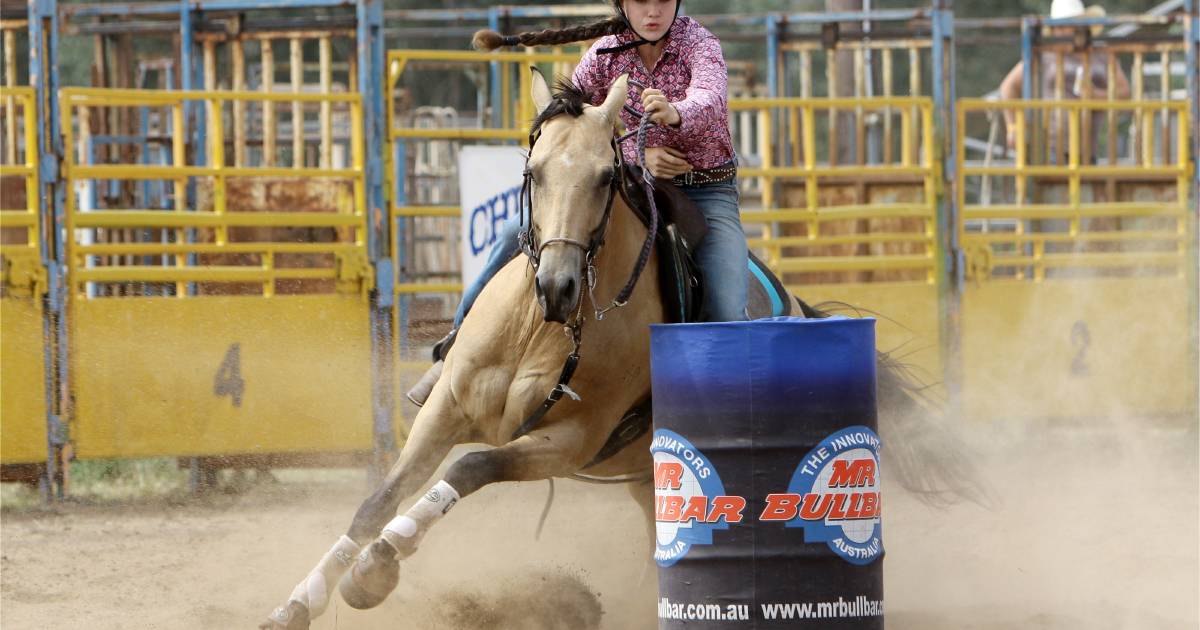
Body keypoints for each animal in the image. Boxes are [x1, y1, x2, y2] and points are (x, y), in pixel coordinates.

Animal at [258, 68, 979, 628]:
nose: (558, 284)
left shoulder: (569, 440)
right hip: (639, 481)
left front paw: (377, 568)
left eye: (608, 176)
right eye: (533, 171)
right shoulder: (446, 409)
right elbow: (378, 499)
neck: (537, 328)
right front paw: (297, 603)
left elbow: (468, 470)